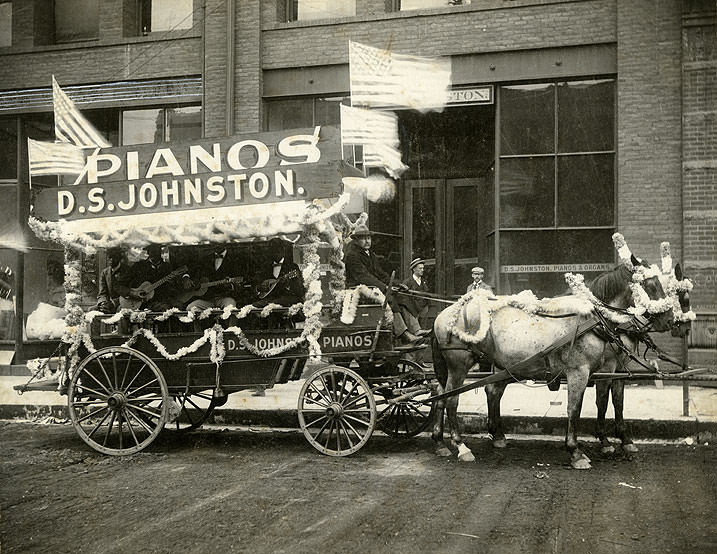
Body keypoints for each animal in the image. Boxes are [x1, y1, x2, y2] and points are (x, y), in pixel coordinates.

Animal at [430, 254, 676, 466]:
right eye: (651, 285)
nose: (670, 320)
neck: (594, 319)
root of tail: (446, 313)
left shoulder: (613, 370)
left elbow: (615, 402)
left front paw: (620, 441)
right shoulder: (583, 371)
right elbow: (578, 407)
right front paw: (577, 451)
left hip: (501, 365)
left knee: (451, 394)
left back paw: (446, 440)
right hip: (459, 365)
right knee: (451, 399)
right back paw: (461, 446)